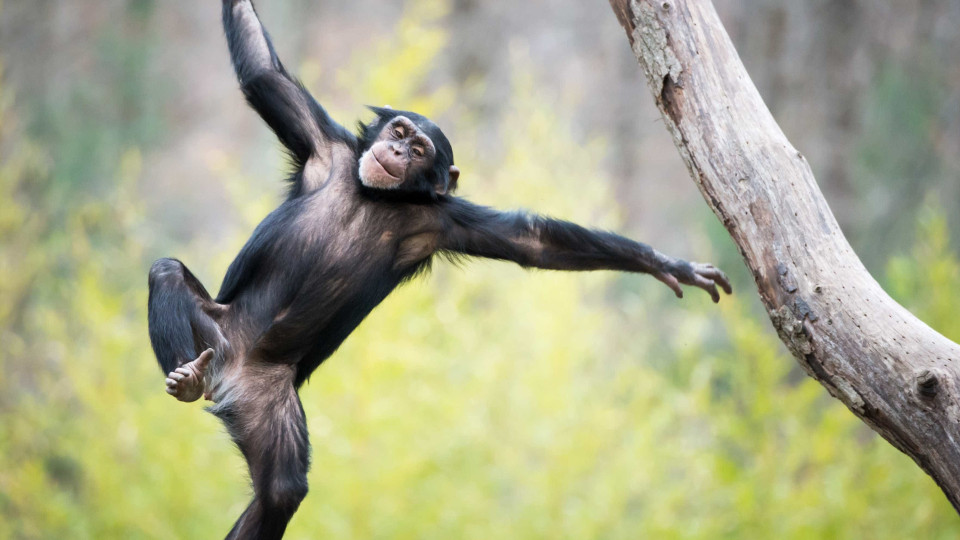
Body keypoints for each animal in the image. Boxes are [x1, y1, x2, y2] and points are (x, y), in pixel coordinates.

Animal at [146, 2, 732, 536]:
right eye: (399, 130)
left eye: (420, 147)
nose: (398, 149)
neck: (375, 195)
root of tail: (229, 377)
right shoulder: (321, 145)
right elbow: (262, 74)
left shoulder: (441, 221)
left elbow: (533, 242)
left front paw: (666, 264)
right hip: (216, 336)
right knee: (166, 273)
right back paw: (184, 376)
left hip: (267, 401)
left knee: (281, 490)